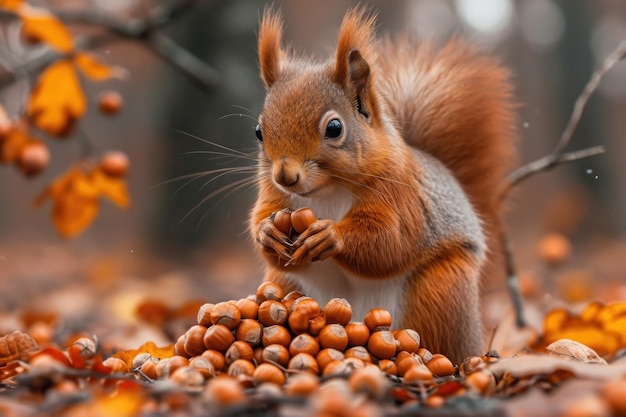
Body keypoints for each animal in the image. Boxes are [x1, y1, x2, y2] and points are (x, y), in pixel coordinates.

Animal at [246, 8, 516, 362]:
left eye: (335, 128)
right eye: (258, 132)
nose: (286, 176)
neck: (326, 192)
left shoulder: (401, 195)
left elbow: (389, 239)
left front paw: (331, 235)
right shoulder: (275, 196)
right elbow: (262, 220)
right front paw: (267, 232)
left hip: (440, 293)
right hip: (285, 284)